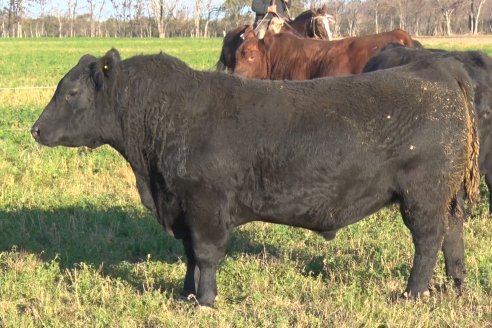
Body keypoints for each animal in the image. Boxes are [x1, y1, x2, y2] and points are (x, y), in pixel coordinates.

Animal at [30, 48, 476, 308]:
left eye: (71, 93)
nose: (35, 130)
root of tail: (437, 66)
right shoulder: (183, 206)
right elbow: (190, 254)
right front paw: (185, 294)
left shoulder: (205, 204)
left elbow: (206, 253)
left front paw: (205, 301)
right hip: (446, 197)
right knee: (453, 234)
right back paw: (456, 285)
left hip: (423, 195)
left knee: (428, 241)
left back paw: (411, 294)